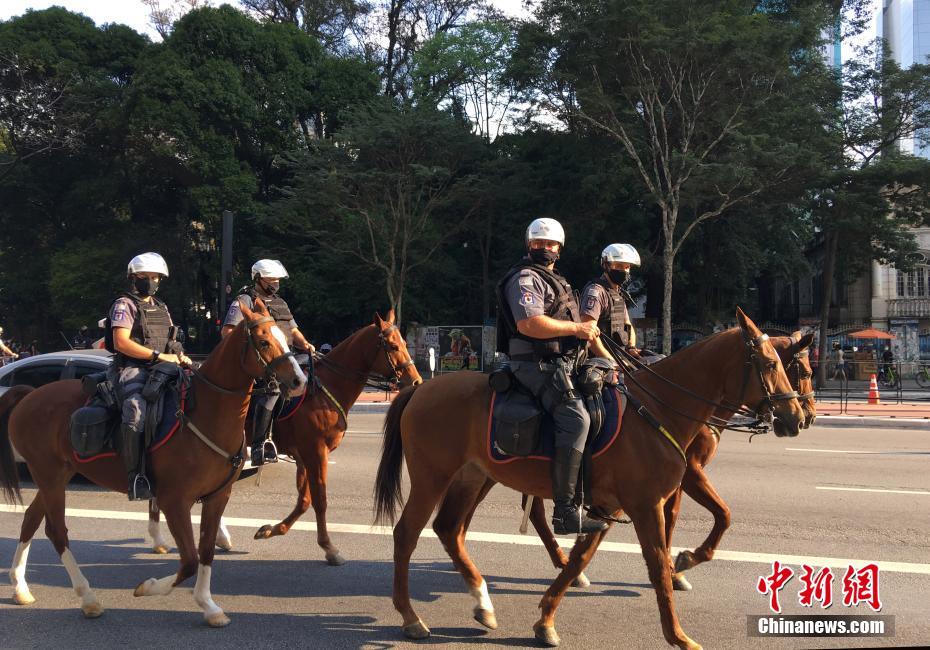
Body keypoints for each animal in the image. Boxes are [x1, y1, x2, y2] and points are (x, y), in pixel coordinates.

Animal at [0, 298, 304, 624]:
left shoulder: (217, 497)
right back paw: (87, 597)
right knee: (56, 532)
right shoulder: (174, 501)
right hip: (50, 476)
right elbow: (189, 560)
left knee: (31, 520)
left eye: (286, 337)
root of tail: (28, 395)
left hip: (56, 476)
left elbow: (206, 552)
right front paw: (149, 588)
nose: (299, 380)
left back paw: (20, 587)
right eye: (263, 341)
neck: (205, 414)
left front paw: (208, 605)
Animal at [146, 308, 424, 556]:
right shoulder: (316, 453)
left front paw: (272, 529)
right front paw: (328, 547)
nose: (416, 381)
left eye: (403, 342)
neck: (325, 390)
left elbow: (304, 500)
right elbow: (320, 500)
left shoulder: (303, 457)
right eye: (392, 346)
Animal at [374, 308, 800, 648]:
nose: (797, 417)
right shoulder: (646, 505)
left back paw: (482, 602)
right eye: (769, 363)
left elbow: (581, 557)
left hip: (473, 478)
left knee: (449, 530)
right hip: (432, 477)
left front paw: (545, 620)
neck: (658, 408)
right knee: (407, 534)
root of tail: (420, 389)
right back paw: (411, 617)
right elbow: (658, 565)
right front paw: (678, 634)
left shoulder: (609, 507)